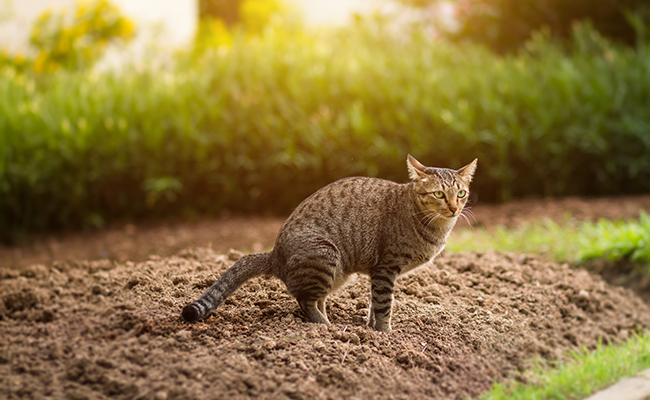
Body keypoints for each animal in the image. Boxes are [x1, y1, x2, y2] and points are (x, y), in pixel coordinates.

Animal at [182, 155, 476, 332]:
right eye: (439, 194)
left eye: (461, 193)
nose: (454, 208)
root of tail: (274, 254)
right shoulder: (385, 269)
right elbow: (384, 304)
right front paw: (384, 333)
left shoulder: (379, 274)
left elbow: (374, 304)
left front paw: (370, 327)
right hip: (325, 255)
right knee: (306, 301)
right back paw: (326, 328)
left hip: (337, 273)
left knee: (315, 298)